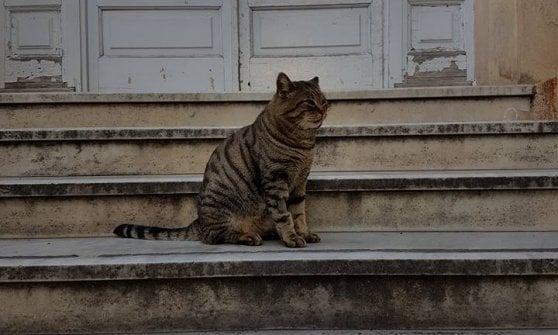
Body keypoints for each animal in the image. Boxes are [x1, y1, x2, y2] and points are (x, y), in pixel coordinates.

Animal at [116, 72, 330, 248]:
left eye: (324, 101)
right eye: (309, 103)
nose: (323, 111)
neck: (304, 144)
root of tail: (199, 222)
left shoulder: (300, 182)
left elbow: (299, 213)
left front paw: (304, 233)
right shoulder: (275, 181)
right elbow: (284, 215)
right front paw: (291, 237)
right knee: (214, 237)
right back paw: (248, 237)